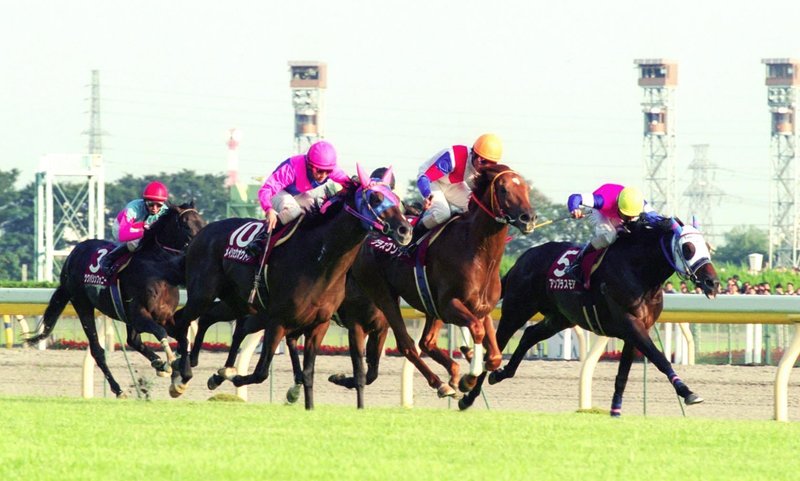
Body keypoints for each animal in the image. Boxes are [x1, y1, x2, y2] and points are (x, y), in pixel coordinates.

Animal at [26, 202, 206, 398]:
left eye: (203, 222)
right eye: (186, 225)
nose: (201, 244)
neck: (159, 268)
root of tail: (72, 254)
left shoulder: (164, 316)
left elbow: (182, 338)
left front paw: (181, 377)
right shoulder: (139, 315)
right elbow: (160, 332)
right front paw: (171, 363)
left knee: (133, 341)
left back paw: (157, 363)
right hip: (82, 304)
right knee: (98, 350)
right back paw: (119, 389)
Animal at [169, 166, 412, 408]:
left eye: (396, 199)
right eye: (375, 198)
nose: (405, 230)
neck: (318, 259)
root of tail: (202, 232)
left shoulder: (328, 324)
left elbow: (314, 373)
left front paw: (311, 404)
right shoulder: (287, 320)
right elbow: (261, 372)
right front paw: (232, 376)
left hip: (238, 302)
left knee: (213, 320)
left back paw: (198, 365)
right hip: (205, 293)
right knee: (183, 320)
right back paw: (182, 373)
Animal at [350, 163, 536, 399]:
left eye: (526, 189)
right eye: (503, 189)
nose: (529, 218)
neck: (479, 254)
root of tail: (368, 237)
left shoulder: (481, 308)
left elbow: (494, 356)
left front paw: (474, 363)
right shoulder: (449, 305)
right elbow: (477, 330)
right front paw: (469, 378)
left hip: (430, 305)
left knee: (426, 342)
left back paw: (452, 374)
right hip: (384, 294)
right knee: (407, 344)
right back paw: (441, 382)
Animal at [458, 217, 720, 416]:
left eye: (707, 247)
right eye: (688, 248)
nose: (713, 282)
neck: (639, 272)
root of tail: (522, 260)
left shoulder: (634, 331)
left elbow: (623, 374)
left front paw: (616, 410)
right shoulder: (630, 324)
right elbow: (659, 358)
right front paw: (688, 392)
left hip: (560, 317)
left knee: (530, 334)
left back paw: (501, 374)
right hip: (517, 309)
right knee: (498, 345)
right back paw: (468, 396)